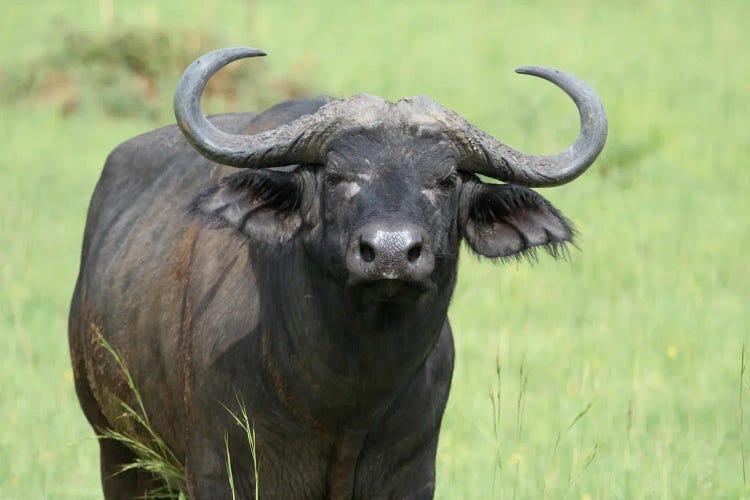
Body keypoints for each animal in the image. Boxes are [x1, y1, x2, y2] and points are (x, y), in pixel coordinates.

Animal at [69, 47, 604, 500]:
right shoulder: (223, 474)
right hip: (117, 453)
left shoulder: (410, 479)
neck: (347, 399)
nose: (391, 252)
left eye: (446, 180)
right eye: (336, 175)